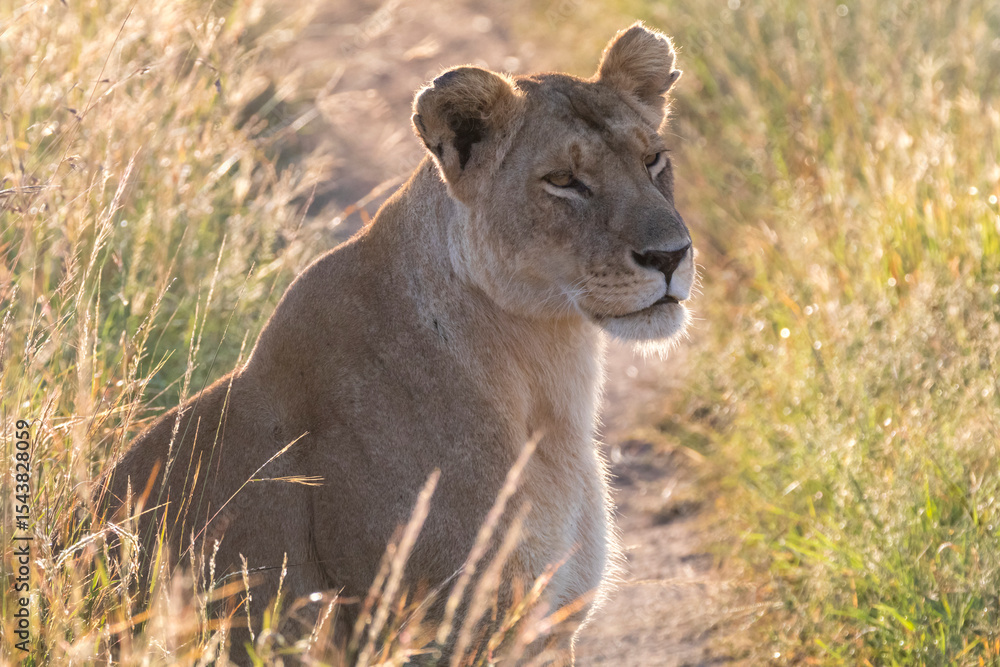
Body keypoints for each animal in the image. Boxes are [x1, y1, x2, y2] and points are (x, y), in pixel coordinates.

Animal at [96, 22, 694, 665]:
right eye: (563, 181)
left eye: (653, 159)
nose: (671, 255)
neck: (544, 373)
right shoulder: (435, 630)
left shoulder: (549, 629)